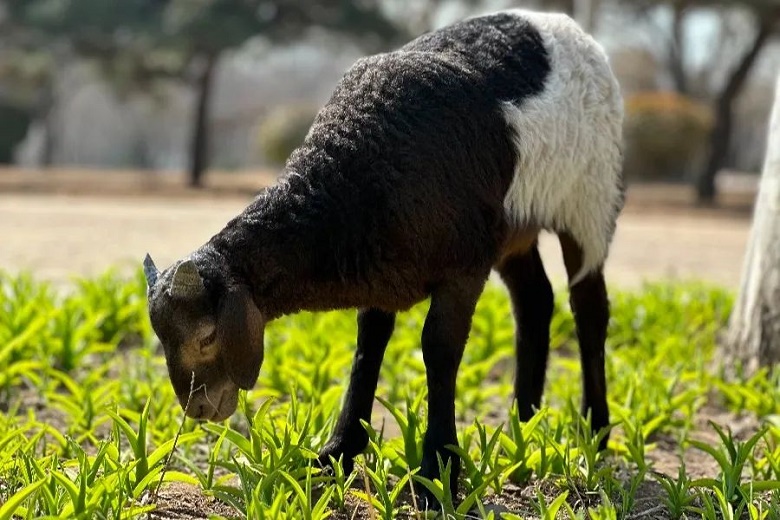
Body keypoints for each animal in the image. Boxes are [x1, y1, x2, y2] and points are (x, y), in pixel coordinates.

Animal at [143, 8, 624, 502]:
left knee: (588, 306)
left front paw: (438, 473)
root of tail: (562, 24)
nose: (199, 408)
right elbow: (368, 346)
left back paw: (595, 430)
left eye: (206, 337)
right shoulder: (379, 269)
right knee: (534, 301)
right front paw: (335, 454)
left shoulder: (464, 265)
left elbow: (439, 348)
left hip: (590, 198)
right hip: (516, 227)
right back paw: (523, 425)